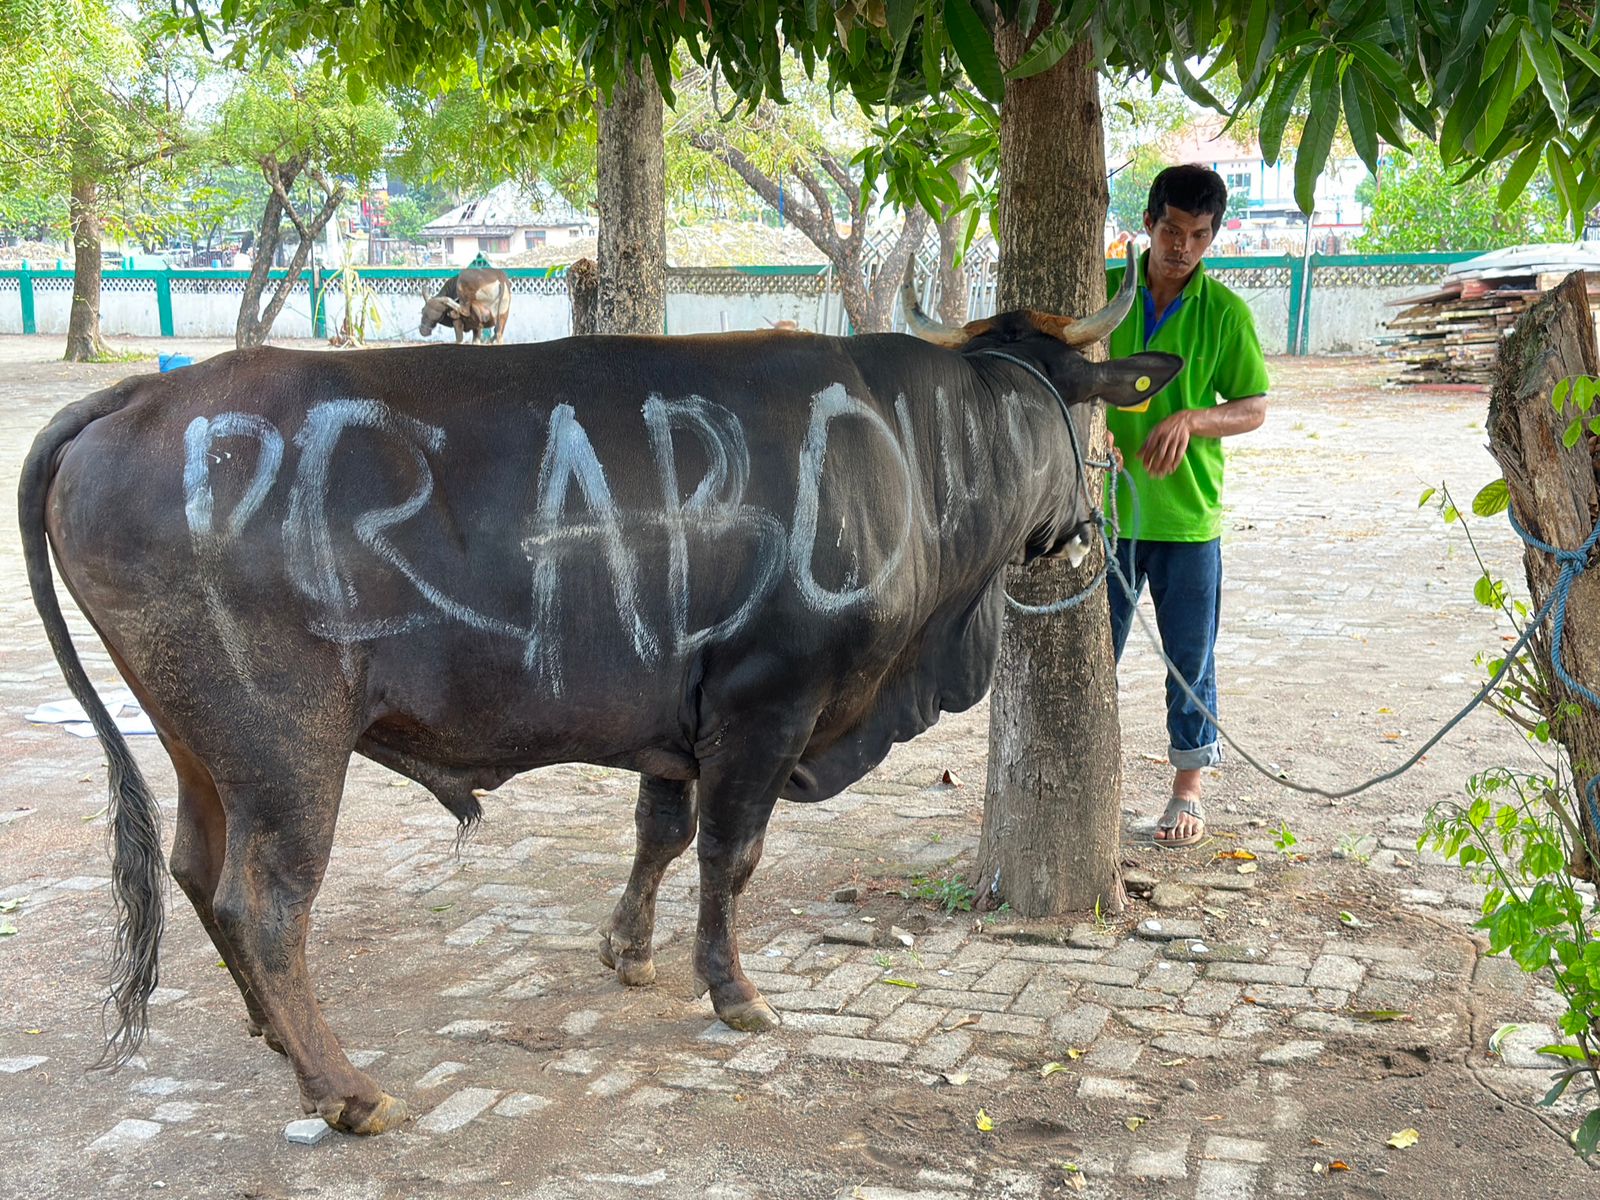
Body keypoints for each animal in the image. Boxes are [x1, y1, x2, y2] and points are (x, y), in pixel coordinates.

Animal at [21, 296, 1177, 1132]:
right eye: (1085, 409)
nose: (1086, 527)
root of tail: (137, 399)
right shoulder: (768, 699)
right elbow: (730, 853)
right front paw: (734, 991)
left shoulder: (677, 720)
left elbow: (659, 831)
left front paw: (628, 948)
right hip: (284, 747)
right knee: (262, 904)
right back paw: (343, 1088)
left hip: (199, 744)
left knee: (194, 870)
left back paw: (273, 1036)